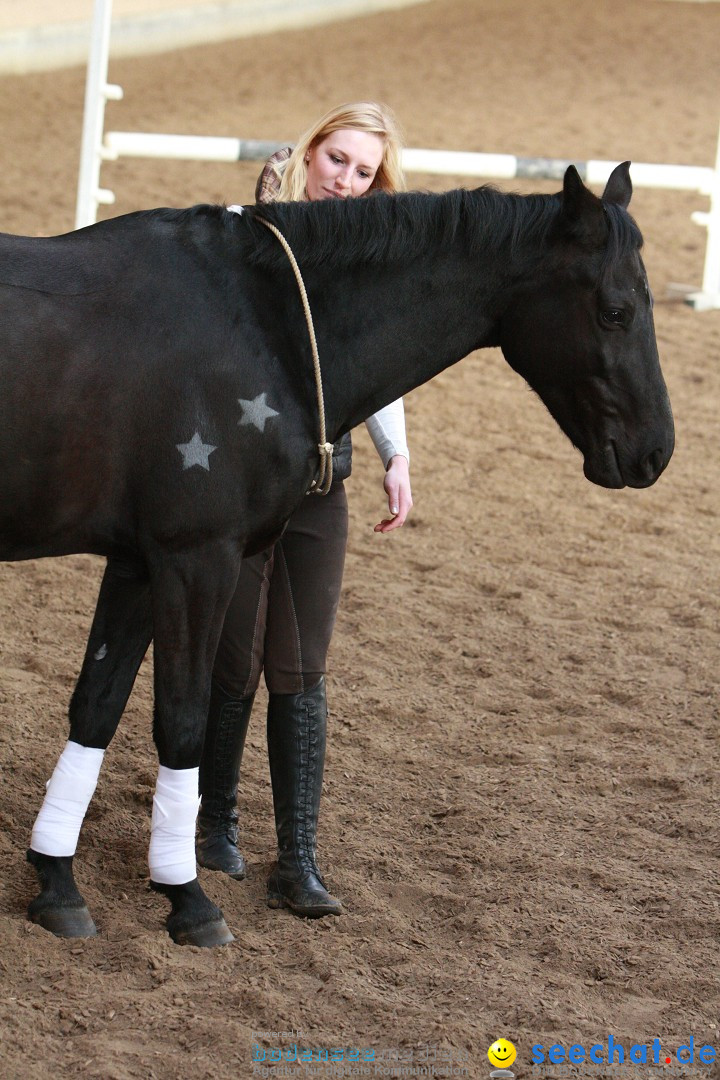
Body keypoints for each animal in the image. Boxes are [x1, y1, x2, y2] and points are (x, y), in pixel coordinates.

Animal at [0, 162, 677, 946]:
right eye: (616, 311)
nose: (656, 451)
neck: (267, 322)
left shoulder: (141, 562)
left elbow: (96, 706)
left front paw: (56, 881)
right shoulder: (196, 559)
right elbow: (183, 718)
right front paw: (187, 896)